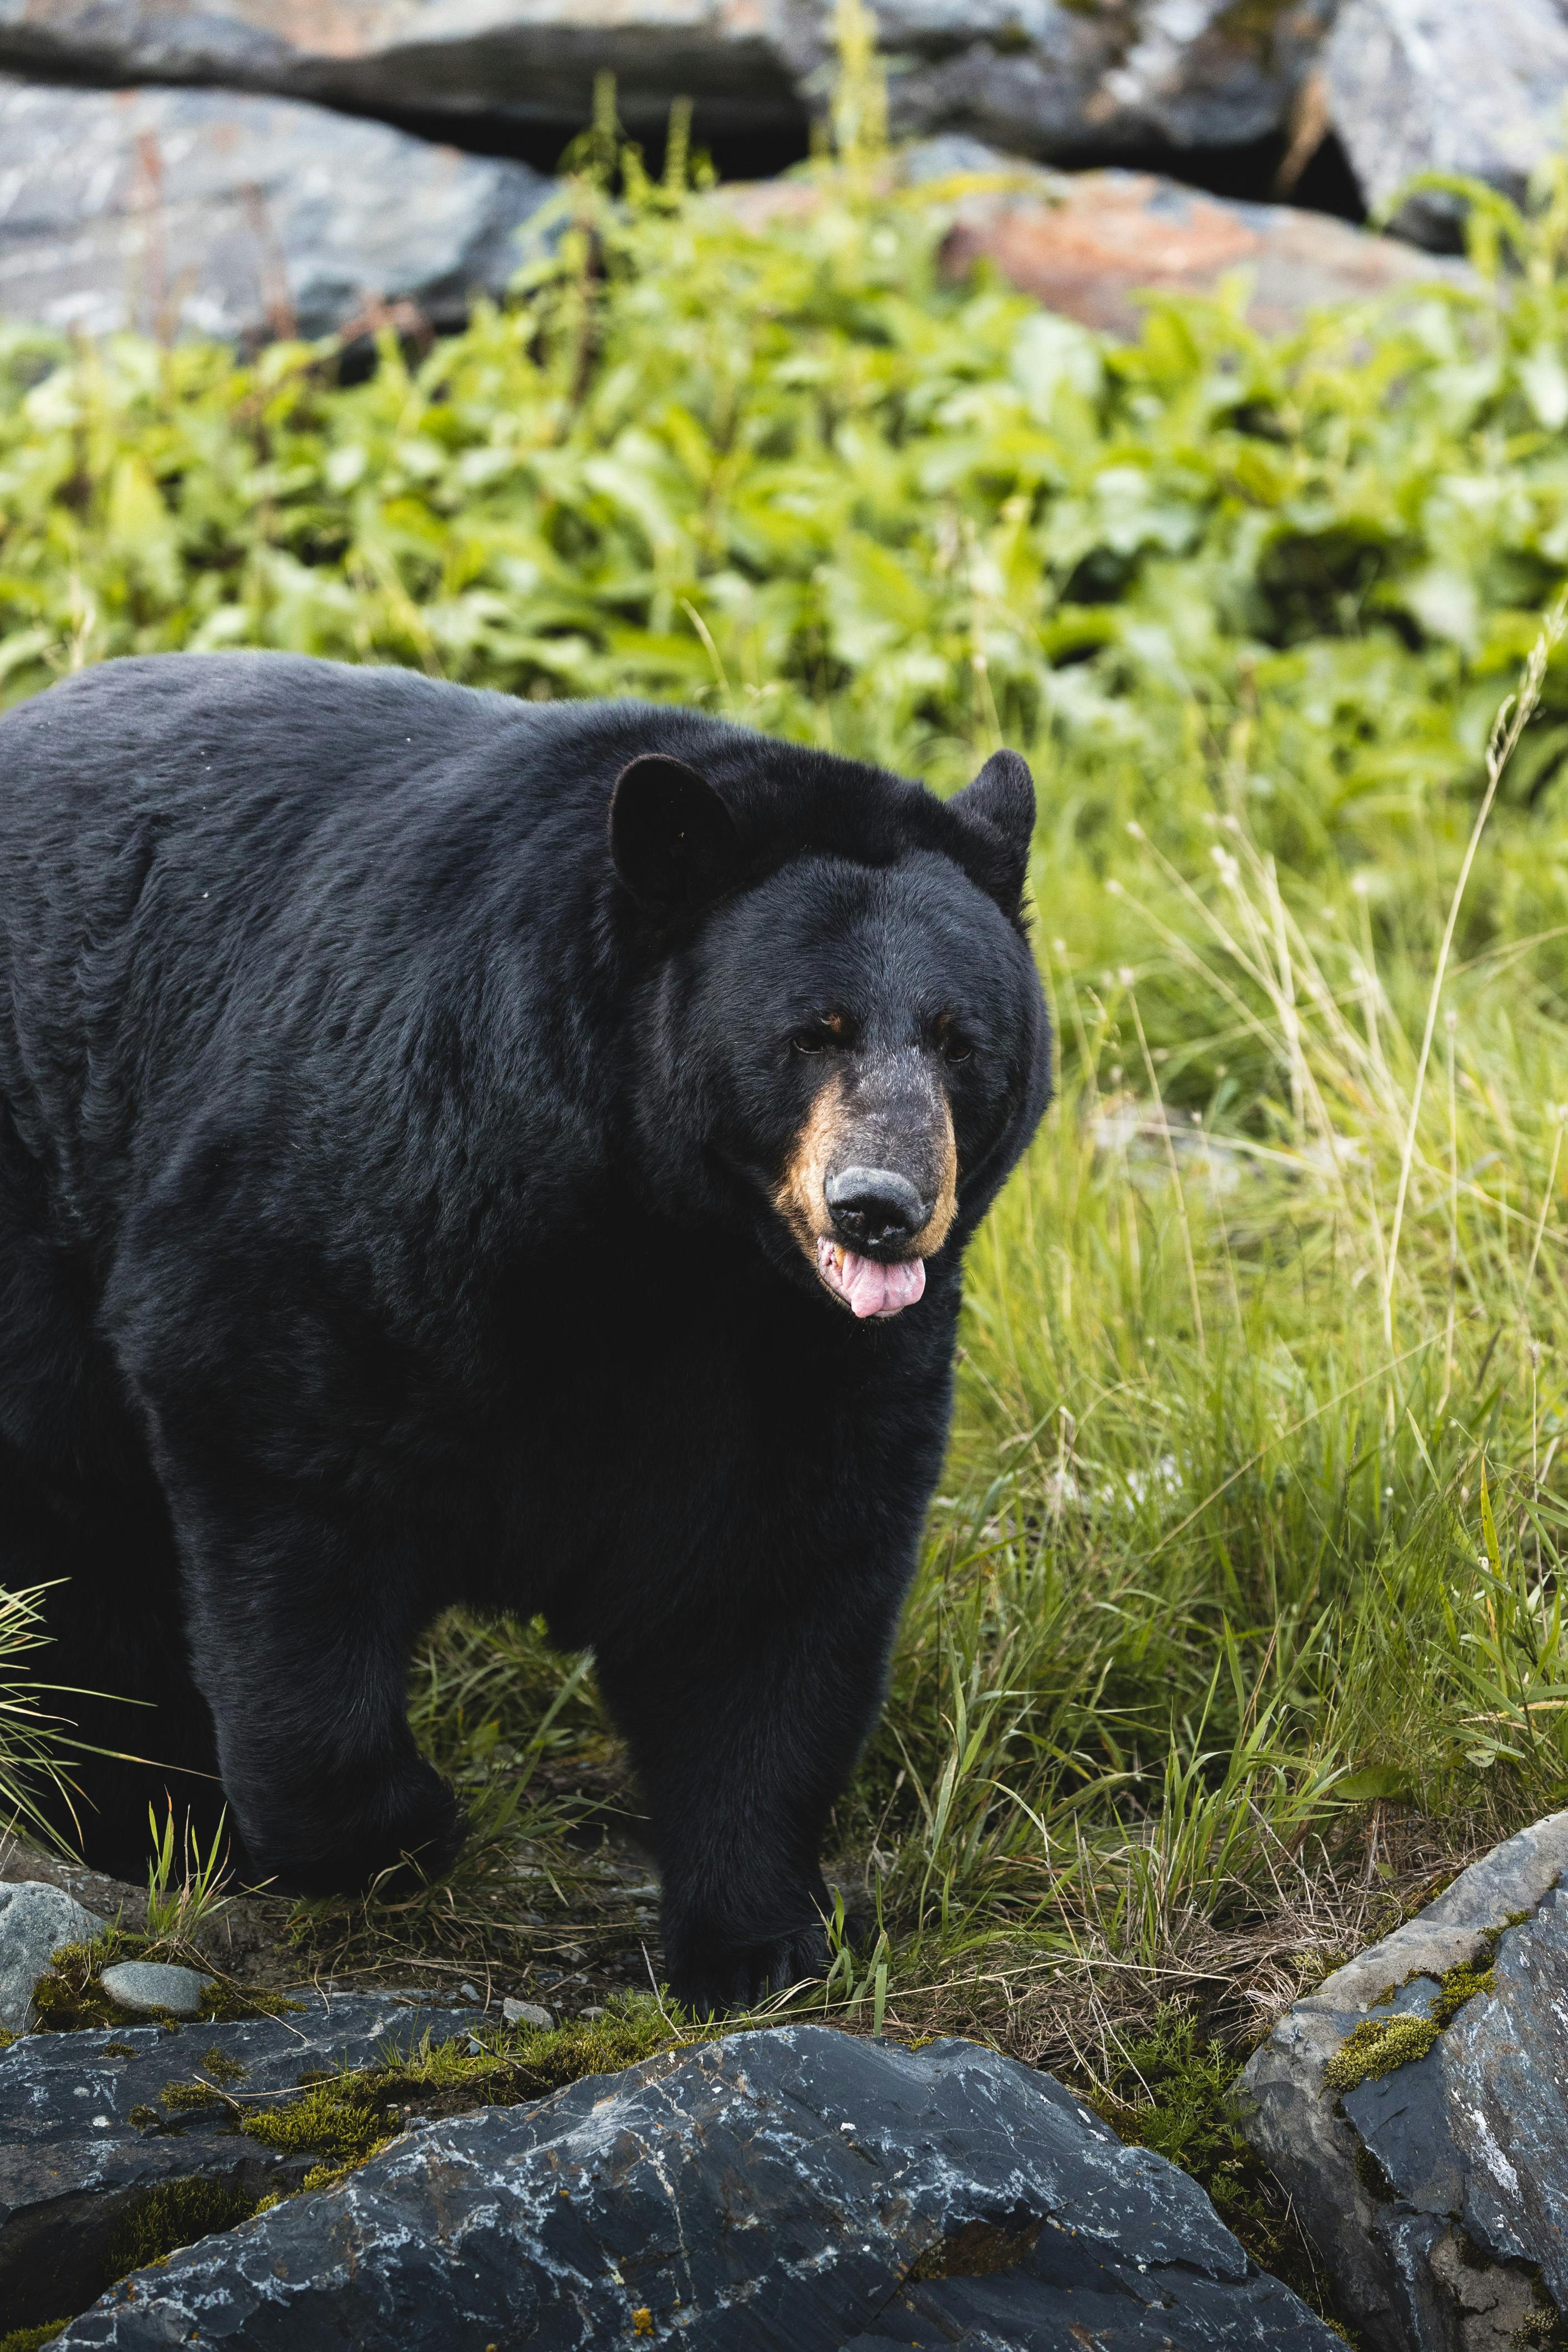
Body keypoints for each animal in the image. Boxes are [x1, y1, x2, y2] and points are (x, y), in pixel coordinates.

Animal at [0, 651, 1051, 2012]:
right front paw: (394, 1829)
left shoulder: (808, 1360)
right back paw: (144, 1812)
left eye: (958, 1040)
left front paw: (759, 1937)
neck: (667, 1246)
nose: (879, 1207)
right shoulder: (368, 1196)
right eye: (809, 1032)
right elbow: (271, 1455)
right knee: (71, 1506)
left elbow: (774, 1586)